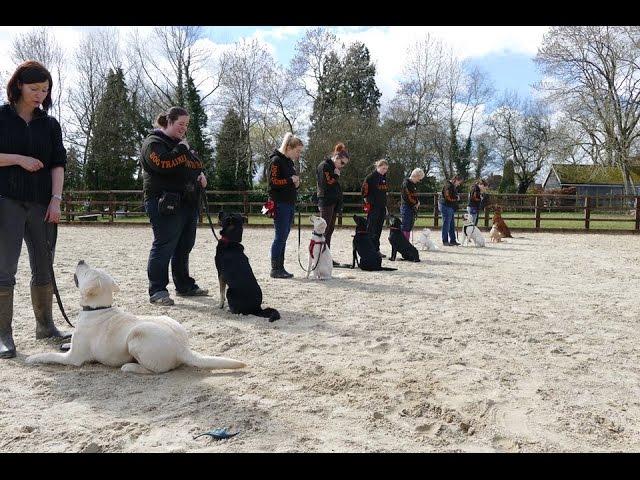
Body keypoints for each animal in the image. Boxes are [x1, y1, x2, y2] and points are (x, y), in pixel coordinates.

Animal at [25, 260, 245, 374]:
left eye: (87, 272)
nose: (81, 261)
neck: (97, 308)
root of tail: (184, 349)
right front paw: (63, 343)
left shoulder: (74, 358)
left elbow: (49, 355)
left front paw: (32, 358)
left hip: (137, 335)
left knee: (154, 370)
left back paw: (129, 366)